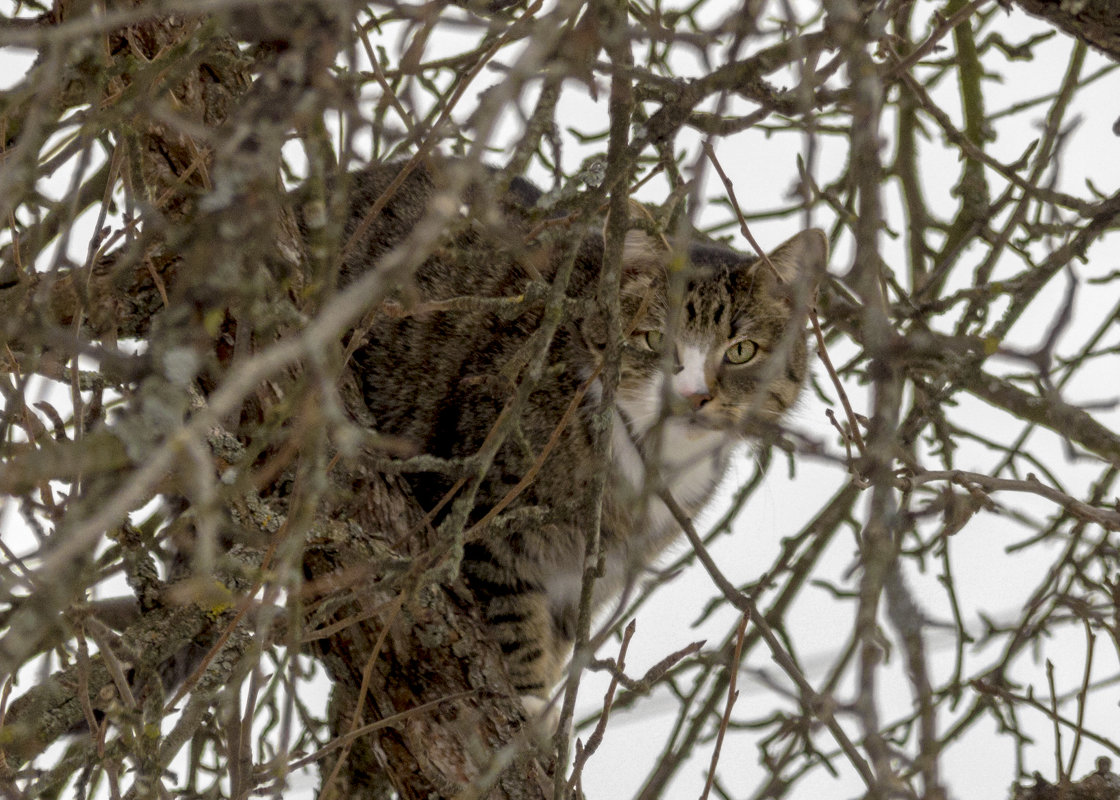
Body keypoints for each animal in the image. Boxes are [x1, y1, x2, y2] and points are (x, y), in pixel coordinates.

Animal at [336, 159, 828, 708]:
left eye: (741, 351)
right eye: (654, 340)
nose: (692, 396)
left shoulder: (593, 579)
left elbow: (555, 647)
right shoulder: (482, 514)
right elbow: (515, 627)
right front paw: (527, 713)